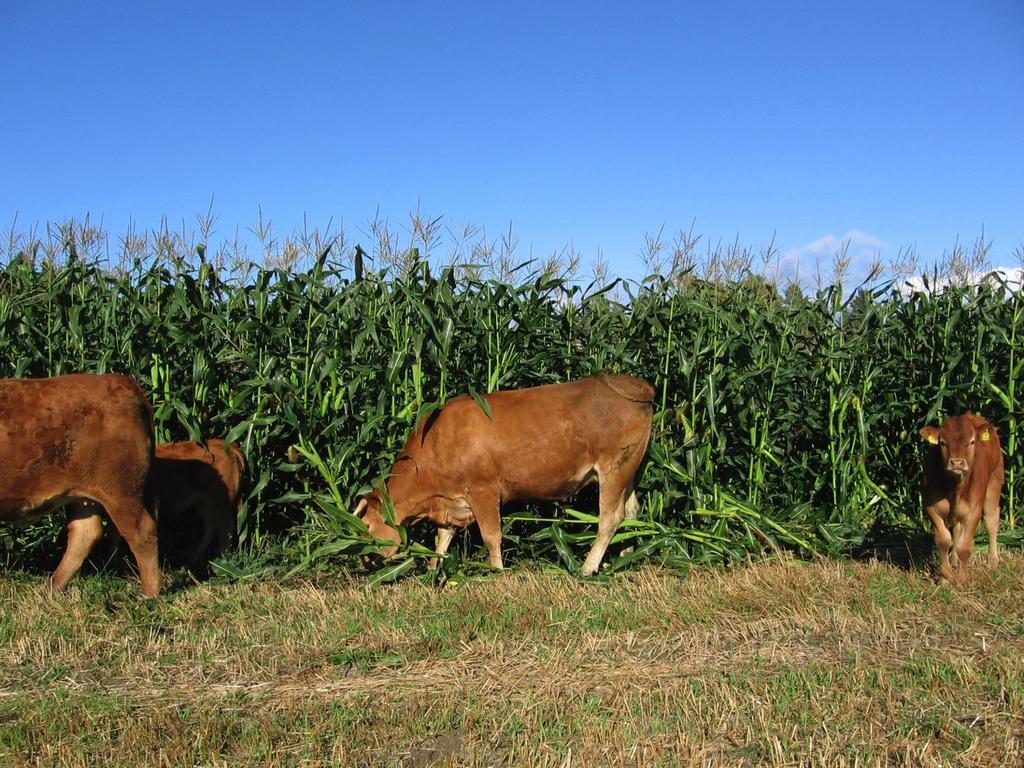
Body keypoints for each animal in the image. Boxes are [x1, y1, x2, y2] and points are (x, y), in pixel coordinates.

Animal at [0, 376, 158, 598]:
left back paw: (150, 595)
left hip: (120, 490)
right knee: (85, 533)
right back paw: (51, 589)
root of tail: (122, 381)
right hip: (84, 495)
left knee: (142, 533)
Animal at [356, 372, 651, 577]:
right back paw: (625, 557)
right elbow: (443, 537)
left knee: (611, 517)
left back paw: (588, 568)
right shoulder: (451, 502)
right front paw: (433, 570)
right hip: (629, 471)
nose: (363, 563)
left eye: (367, 526)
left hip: (613, 467)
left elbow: (491, 535)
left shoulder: (482, 489)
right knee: (632, 512)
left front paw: (496, 572)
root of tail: (633, 384)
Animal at [921, 411, 999, 585]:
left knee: (991, 521)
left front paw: (962, 580)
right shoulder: (930, 507)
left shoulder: (974, 510)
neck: (954, 490)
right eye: (942, 442)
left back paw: (992, 562)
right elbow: (944, 540)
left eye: (972, 441)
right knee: (957, 530)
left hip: (995, 482)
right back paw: (954, 561)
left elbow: (964, 546)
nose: (957, 463)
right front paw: (946, 578)